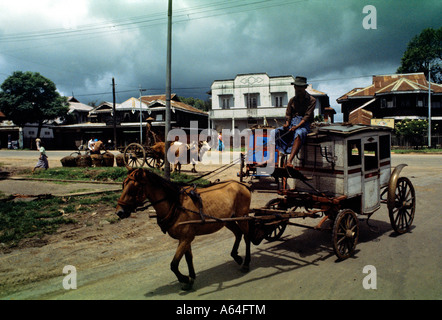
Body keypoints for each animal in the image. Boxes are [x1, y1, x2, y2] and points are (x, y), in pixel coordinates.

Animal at [115, 169, 252, 292]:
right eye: (123, 185)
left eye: (133, 188)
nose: (119, 212)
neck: (176, 205)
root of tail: (242, 185)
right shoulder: (185, 238)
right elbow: (188, 258)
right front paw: (191, 278)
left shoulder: (186, 238)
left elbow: (174, 264)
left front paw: (185, 279)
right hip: (227, 220)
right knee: (238, 234)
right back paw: (236, 257)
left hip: (242, 217)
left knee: (246, 237)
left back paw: (246, 263)